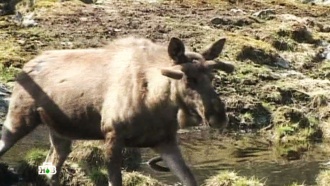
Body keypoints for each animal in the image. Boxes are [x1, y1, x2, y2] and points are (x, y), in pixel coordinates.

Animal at [0, 36, 235, 185]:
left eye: (212, 77)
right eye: (188, 79)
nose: (219, 117)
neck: (156, 103)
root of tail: (24, 67)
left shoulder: (165, 142)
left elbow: (189, 178)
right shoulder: (112, 134)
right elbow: (115, 180)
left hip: (60, 133)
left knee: (50, 169)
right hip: (18, 119)